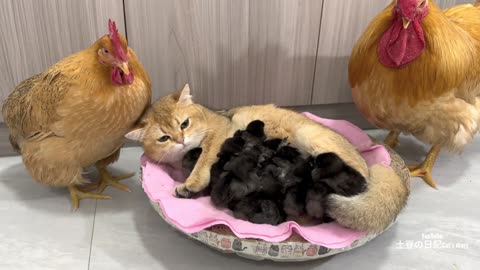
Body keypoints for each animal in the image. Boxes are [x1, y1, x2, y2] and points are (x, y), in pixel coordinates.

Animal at [126, 84, 408, 232]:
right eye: (164, 138)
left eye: (184, 123)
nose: (181, 140)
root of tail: (370, 169)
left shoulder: (218, 136)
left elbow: (204, 159)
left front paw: (191, 183)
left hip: (312, 139)